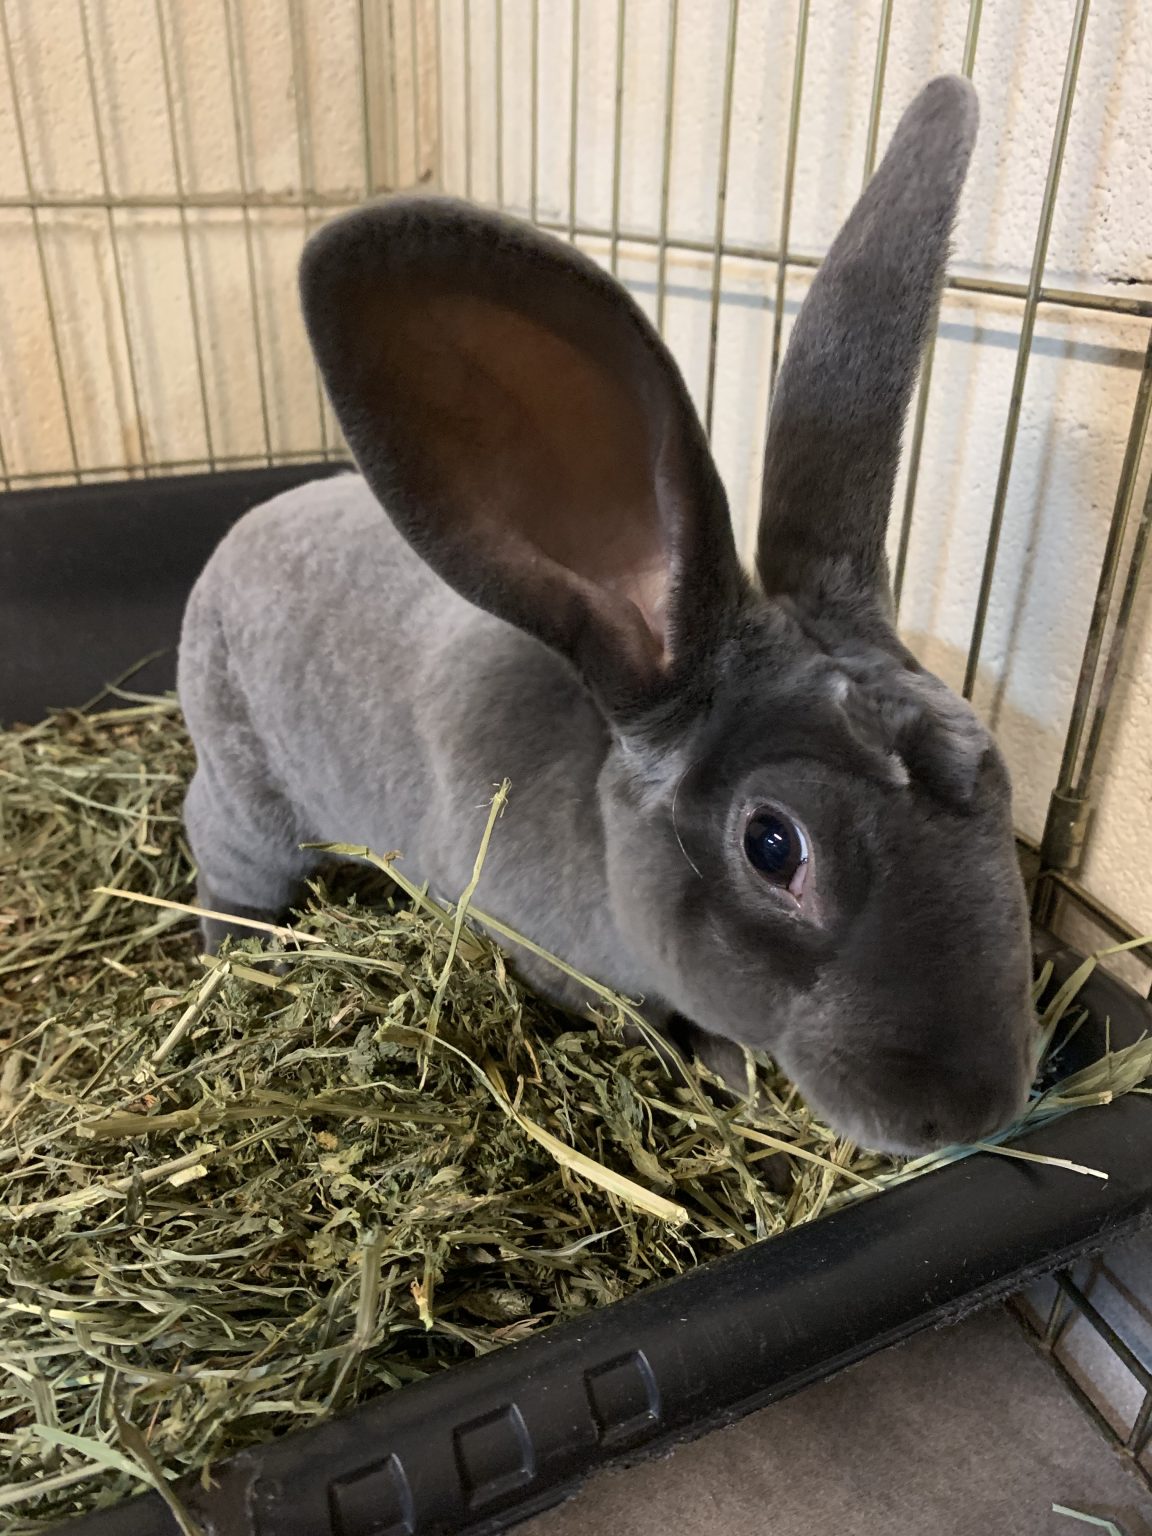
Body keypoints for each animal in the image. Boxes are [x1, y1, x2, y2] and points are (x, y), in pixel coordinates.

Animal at [177, 75, 1035, 1157]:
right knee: (221, 855)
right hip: (247, 787)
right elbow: (641, 1020)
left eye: (996, 774)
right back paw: (233, 949)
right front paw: (716, 1068)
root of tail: (241, 530)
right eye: (773, 846)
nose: (973, 1111)